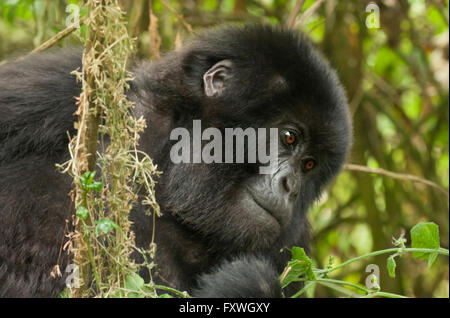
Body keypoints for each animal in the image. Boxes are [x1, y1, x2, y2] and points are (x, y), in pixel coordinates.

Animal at [0, 24, 352, 298]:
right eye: (289, 137)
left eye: (309, 165)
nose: (291, 187)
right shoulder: (61, 84)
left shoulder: (293, 247)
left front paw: (248, 284)